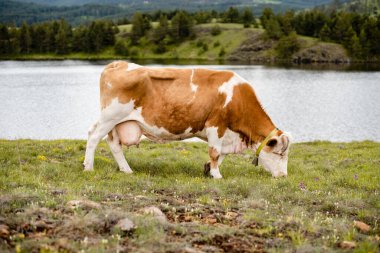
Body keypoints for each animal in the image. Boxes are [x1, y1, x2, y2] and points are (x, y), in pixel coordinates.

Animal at [83, 61, 290, 178]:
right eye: (280, 154)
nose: (283, 176)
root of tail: (118, 63)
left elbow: (221, 154)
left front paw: (208, 169)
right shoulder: (216, 125)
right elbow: (215, 152)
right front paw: (217, 175)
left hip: (117, 122)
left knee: (114, 144)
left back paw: (126, 170)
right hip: (111, 116)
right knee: (93, 136)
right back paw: (89, 167)